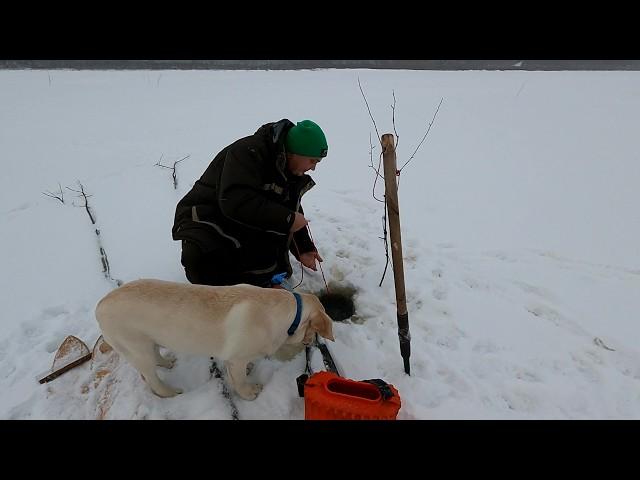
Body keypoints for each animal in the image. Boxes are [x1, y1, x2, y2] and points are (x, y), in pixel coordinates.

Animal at [97, 280, 336, 400]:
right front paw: (250, 393)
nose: (312, 343)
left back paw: (167, 362)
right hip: (137, 348)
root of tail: (100, 305)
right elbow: (239, 380)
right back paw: (170, 392)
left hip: (149, 341)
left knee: (156, 355)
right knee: (151, 378)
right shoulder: (237, 358)